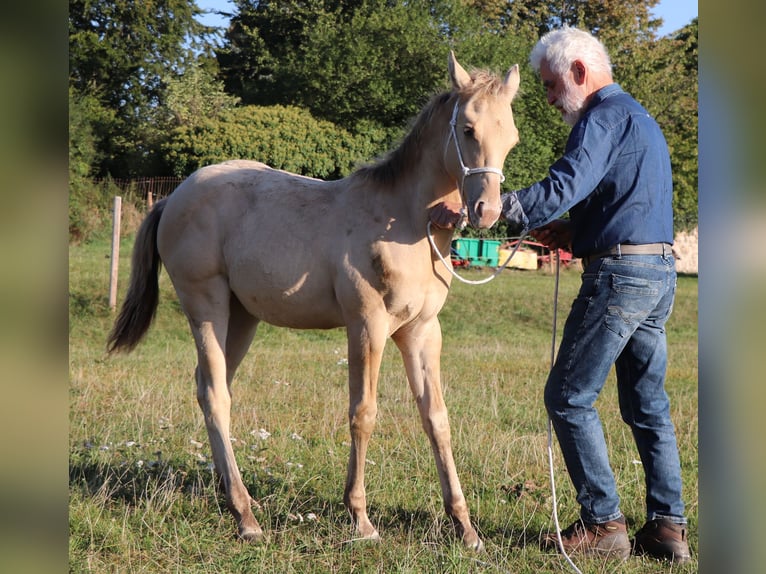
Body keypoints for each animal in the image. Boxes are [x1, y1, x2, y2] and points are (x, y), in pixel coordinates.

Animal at [108, 54, 520, 552]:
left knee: (211, 387)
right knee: (215, 394)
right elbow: (363, 413)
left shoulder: (422, 331)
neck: (404, 221)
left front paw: (466, 527)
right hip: (206, 304)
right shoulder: (366, 325)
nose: (487, 212)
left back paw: (236, 498)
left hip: (241, 317)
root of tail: (172, 196)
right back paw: (246, 517)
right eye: (467, 129)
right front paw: (361, 519)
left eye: (512, 136)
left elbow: (436, 418)